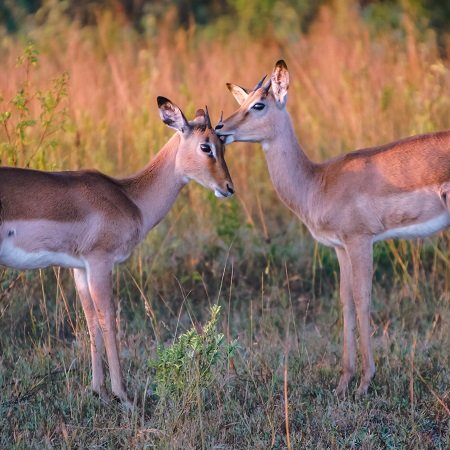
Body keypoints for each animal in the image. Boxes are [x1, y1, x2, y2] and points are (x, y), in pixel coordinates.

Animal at [0, 97, 236, 408]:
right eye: (205, 146)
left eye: (223, 144)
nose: (228, 188)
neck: (130, 198)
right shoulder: (101, 262)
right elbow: (109, 321)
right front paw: (122, 395)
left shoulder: (80, 268)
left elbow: (91, 322)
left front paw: (98, 390)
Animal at [215, 59, 450, 394]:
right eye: (241, 102)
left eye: (259, 104)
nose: (220, 129)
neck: (317, 182)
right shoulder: (340, 248)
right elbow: (346, 303)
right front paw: (343, 383)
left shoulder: (360, 240)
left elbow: (363, 300)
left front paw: (365, 382)